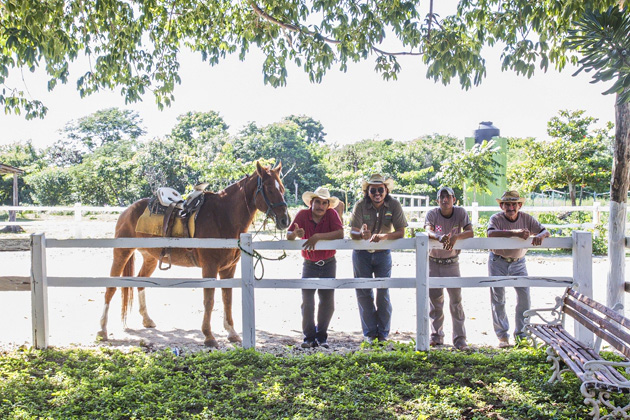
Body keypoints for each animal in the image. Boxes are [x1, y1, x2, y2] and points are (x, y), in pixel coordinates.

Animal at [98, 161, 292, 348]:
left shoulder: (229, 269)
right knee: (110, 288)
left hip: (150, 258)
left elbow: (227, 298)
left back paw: (147, 320)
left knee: (140, 282)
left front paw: (232, 333)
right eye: (269, 189)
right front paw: (209, 336)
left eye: (282, 188)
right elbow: (209, 300)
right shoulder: (210, 268)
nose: (285, 220)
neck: (223, 216)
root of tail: (127, 210)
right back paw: (102, 330)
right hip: (122, 253)